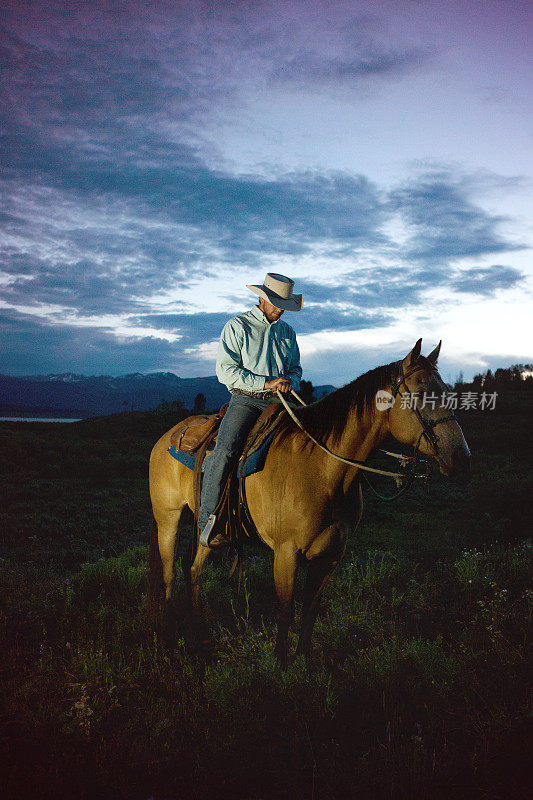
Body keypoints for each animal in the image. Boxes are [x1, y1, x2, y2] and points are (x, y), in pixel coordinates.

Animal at [148, 340, 468, 664]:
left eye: (447, 391)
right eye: (421, 393)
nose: (461, 457)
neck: (324, 470)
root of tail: (168, 436)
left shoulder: (330, 556)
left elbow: (310, 612)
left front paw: (304, 662)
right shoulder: (285, 552)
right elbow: (286, 611)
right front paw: (281, 664)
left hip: (208, 533)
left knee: (193, 570)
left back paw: (200, 638)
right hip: (168, 520)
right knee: (168, 573)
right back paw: (169, 638)